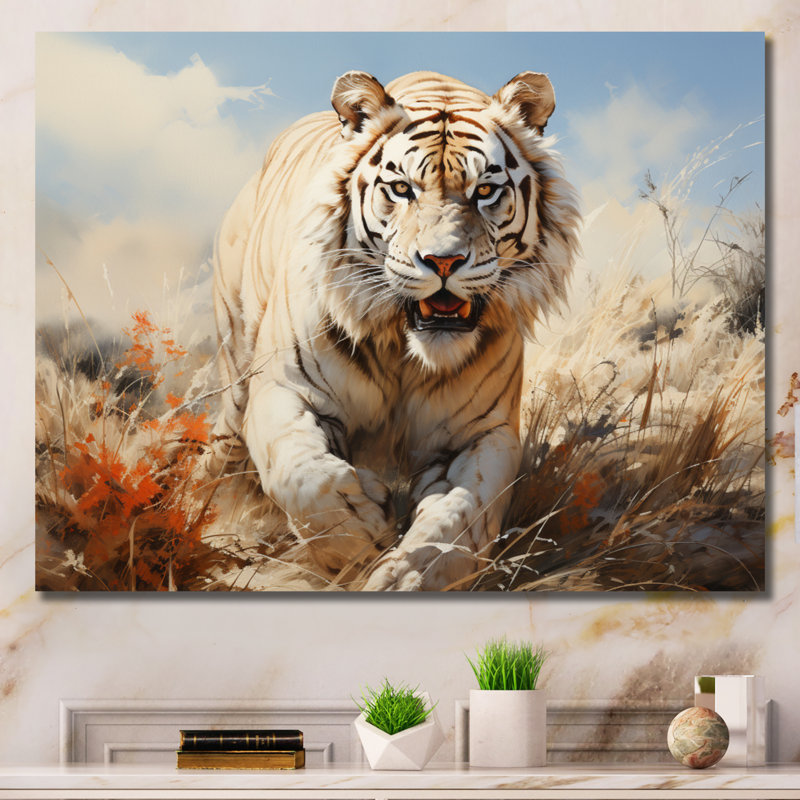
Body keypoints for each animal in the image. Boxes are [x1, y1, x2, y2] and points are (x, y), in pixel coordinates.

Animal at [207, 69, 580, 591]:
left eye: (485, 192)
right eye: (402, 189)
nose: (443, 260)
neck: (407, 351)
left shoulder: (481, 433)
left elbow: (460, 516)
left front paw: (405, 576)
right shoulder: (284, 389)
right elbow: (303, 476)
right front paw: (360, 534)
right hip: (236, 365)